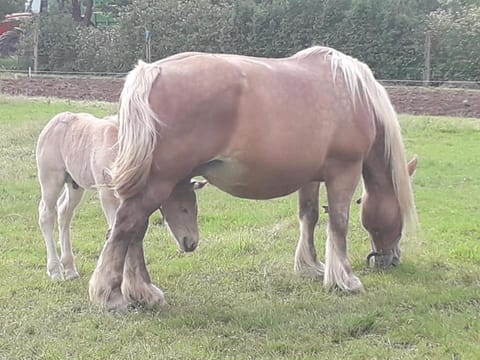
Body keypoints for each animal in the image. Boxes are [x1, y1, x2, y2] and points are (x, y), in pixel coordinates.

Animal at [35, 112, 204, 282]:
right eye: (183, 209)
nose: (192, 243)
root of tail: (54, 122)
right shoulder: (107, 194)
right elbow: (116, 229)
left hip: (74, 184)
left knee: (64, 212)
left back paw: (70, 269)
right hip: (51, 179)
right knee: (46, 214)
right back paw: (55, 271)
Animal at [88, 46, 418, 310]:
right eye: (400, 215)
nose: (392, 259)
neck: (355, 96)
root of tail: (152, 71)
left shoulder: (311, 177)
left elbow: (309, 216)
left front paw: (311, 266)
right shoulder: (343, 172)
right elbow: (338, 222)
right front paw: (345, 279)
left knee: (135, 230)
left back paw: (142, 292)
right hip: (157, 183)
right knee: (127, 226)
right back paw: (112, 295)